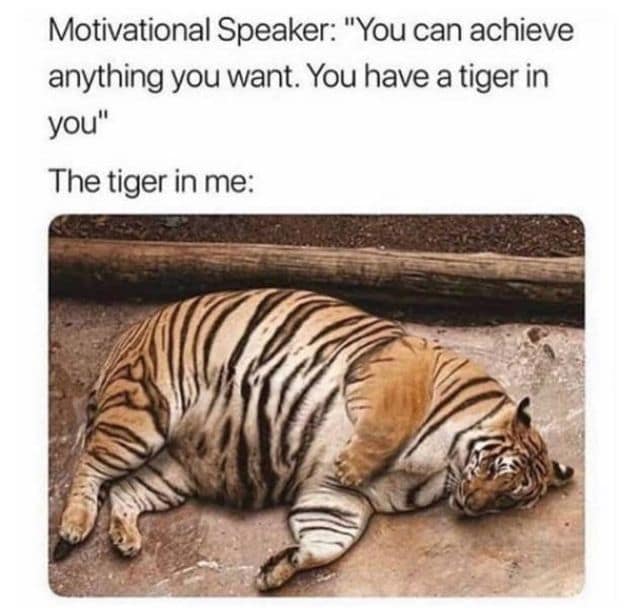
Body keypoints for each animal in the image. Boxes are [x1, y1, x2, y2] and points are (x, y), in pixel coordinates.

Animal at [52, 288, 574, 591]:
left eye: (508, 499)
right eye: (495, 470)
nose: (472, 507)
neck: (446, 469)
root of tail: (130, 333)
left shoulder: (340, 500)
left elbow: (329, 539)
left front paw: (281, 567)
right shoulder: (398, 366)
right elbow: (387, 423)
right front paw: (352, 463)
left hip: (172, 470)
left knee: (124, 491)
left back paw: (124, 538)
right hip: (143, 416)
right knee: (90, 466)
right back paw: (74, 525)